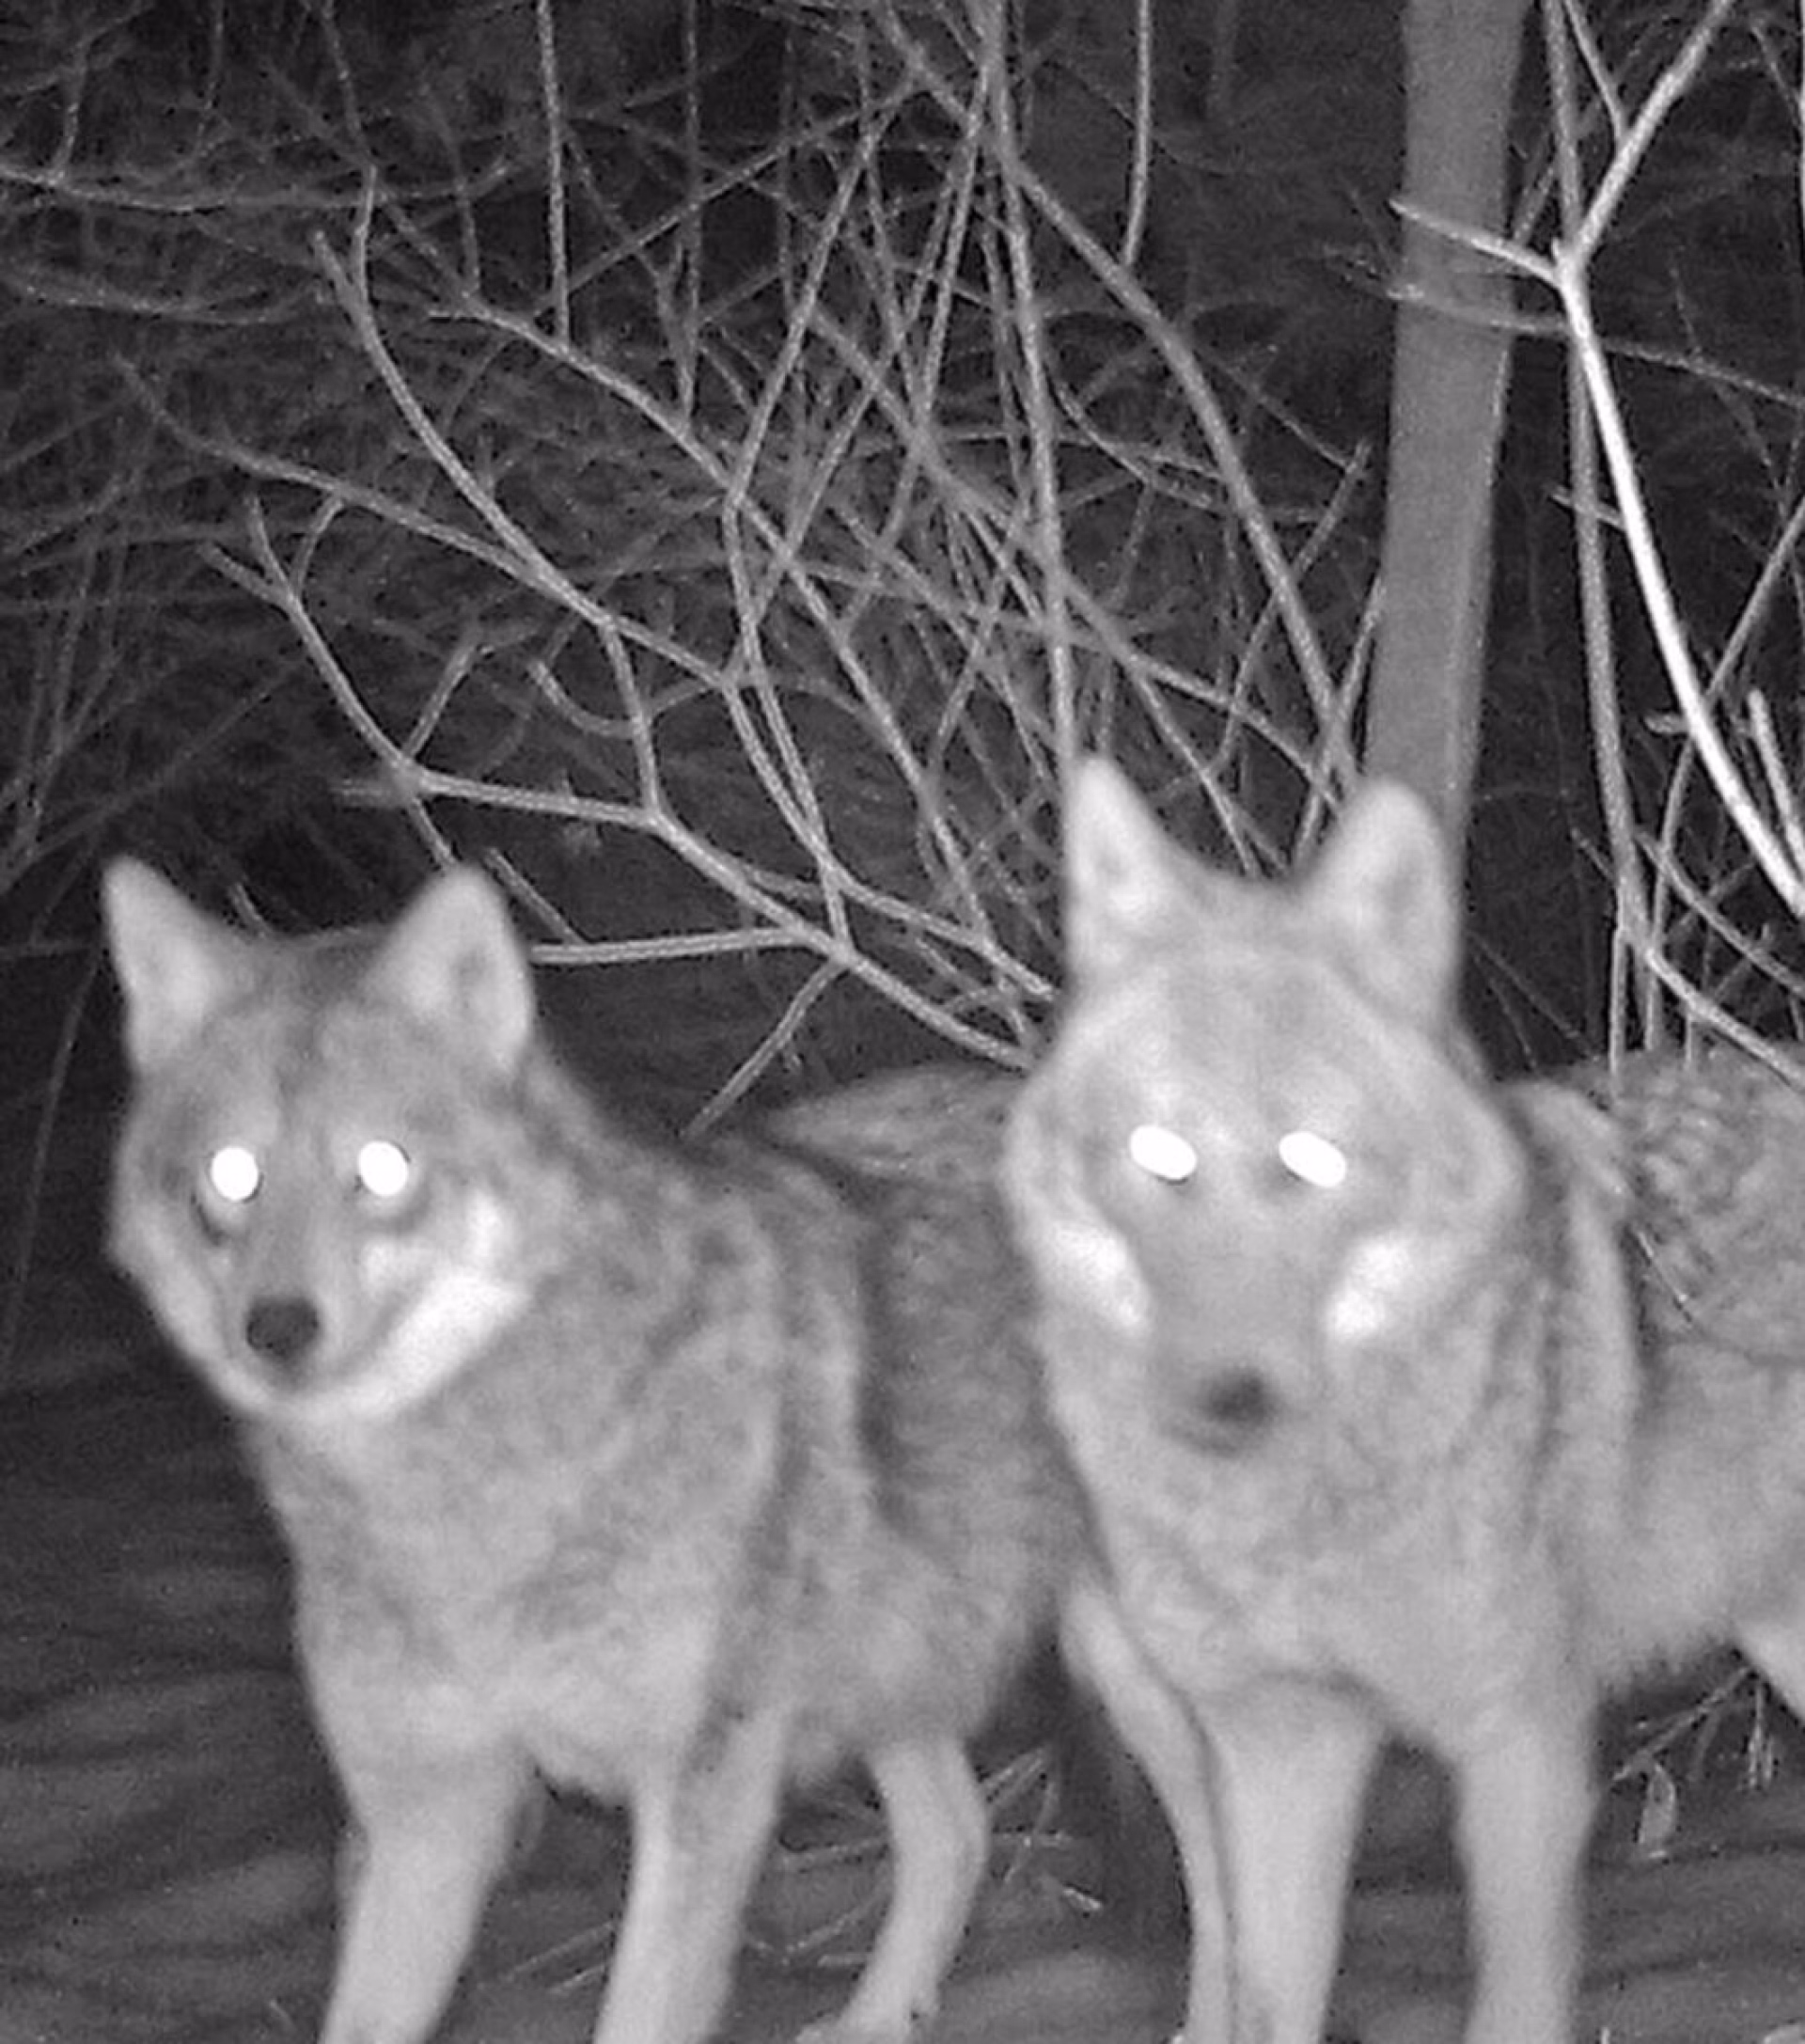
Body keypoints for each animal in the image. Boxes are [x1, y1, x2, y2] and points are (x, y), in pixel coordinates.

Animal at [103, 858, 1088, 2044]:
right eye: (231, 1177)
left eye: (382, 1169)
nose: (278, 1328)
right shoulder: (425, 1825)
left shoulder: (699, 1798)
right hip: (898, 1674)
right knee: (956, 1831)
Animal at [1002, 757, 1805, 2044]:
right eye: (1162, 1157)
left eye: (1311, 1161)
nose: (1229, 1390)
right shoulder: (1279, 1745)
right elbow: (1269, 1993)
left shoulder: (1519, 1737)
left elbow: (1518, 2001)